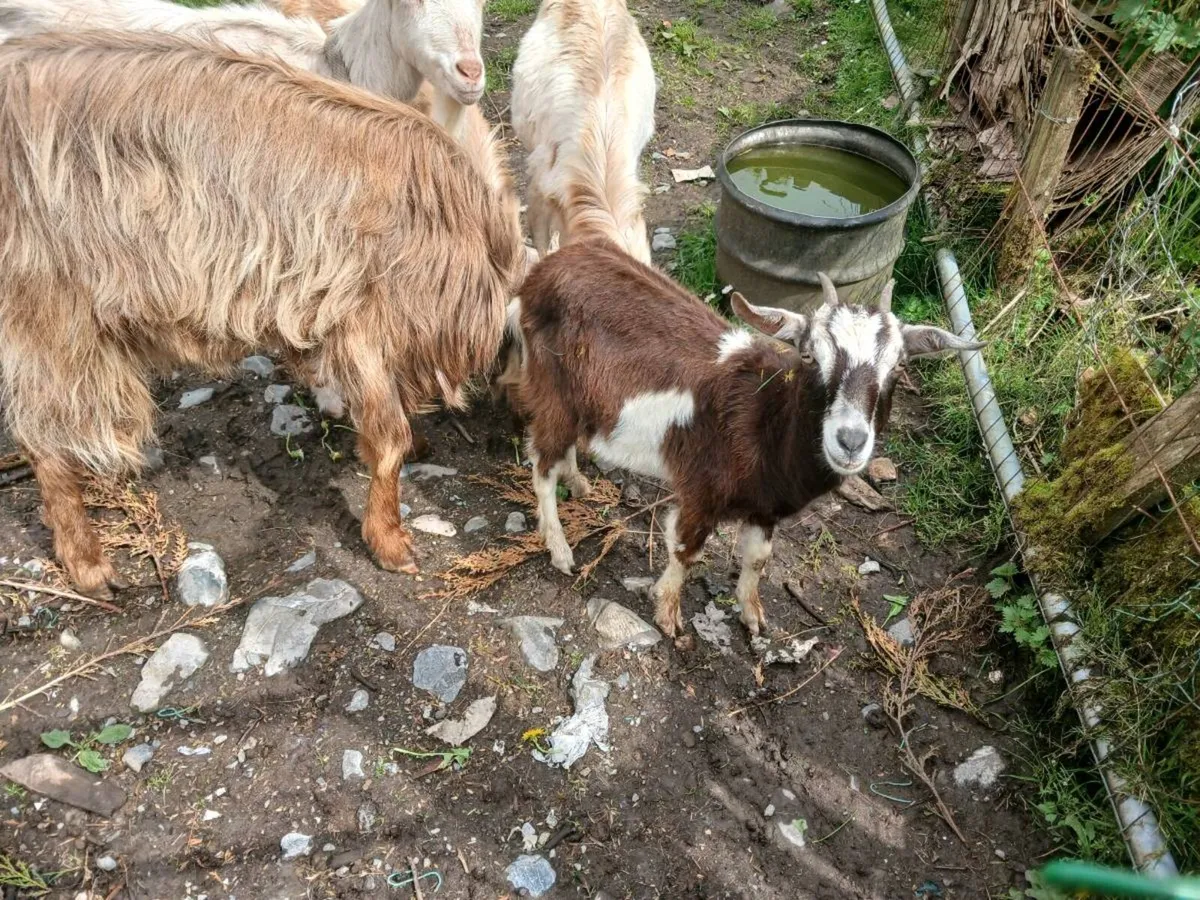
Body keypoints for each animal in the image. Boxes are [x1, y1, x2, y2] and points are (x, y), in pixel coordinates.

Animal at [0, 30, 523, 597]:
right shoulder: (362, 319)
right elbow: (388, 436)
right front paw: (390, 542)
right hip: (49, 315)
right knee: (46, 439)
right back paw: (87, 564)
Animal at [512, 241, 982, 637]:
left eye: (899, 366)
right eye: (809, 355)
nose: (850, 441)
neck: (763, 418)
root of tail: (542, 270)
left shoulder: (766, 505)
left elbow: (757, 559)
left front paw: (752, 615)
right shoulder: (701, 490)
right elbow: (685, 548)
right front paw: (668, 614)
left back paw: (578, 482)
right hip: (551, 386)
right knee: (540, 461)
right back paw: (559, 548)